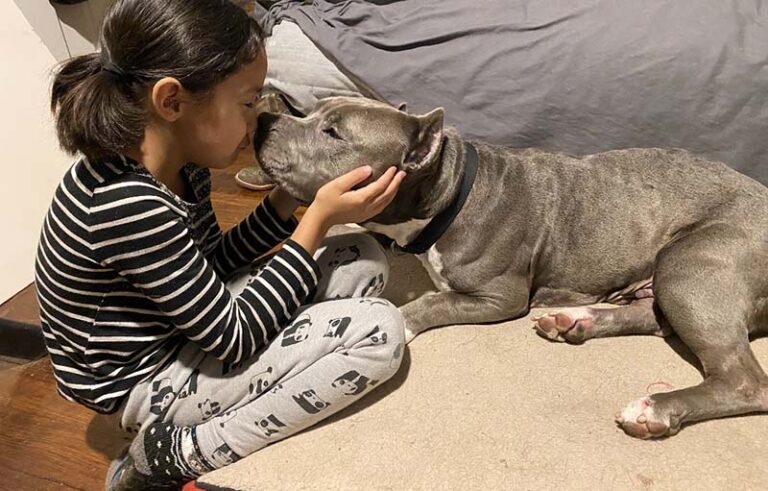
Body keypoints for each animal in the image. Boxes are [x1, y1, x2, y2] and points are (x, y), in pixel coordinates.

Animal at [254, 95, 768, 438]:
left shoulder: (500, 297)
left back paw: (654, 409)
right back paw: (575, 321)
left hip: (690, 264)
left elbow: (432, 300)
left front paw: (397, 320)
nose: (262, 118)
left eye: (333, 132)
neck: (449, 192)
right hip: (669, 275)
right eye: (311, 111)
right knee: (651, 316)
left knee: (745, 381)